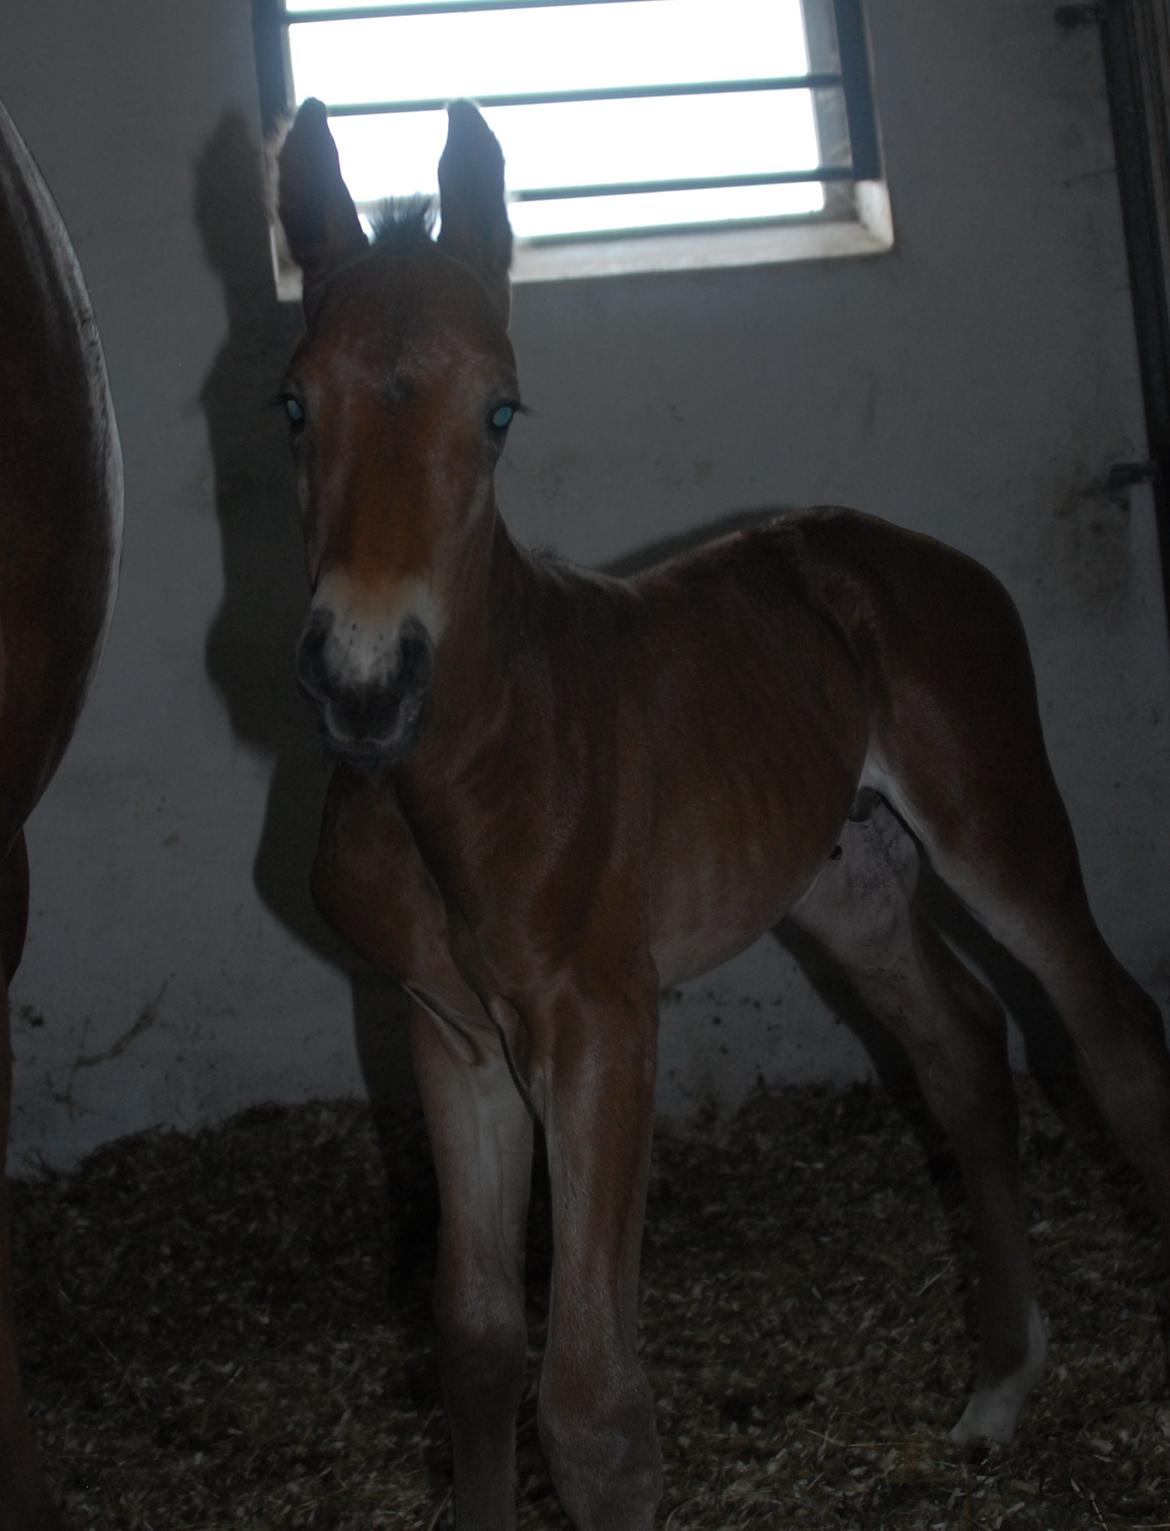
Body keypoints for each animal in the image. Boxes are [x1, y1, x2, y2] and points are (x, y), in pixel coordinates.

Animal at [277, 98, 1170, 1531]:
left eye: (502, 409)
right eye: (294, 403)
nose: (366, 677)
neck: (460, 770)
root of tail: (905, 549)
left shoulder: (600, 1019)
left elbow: (594, 1415)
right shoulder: (448, 1036)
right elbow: (474, 1343)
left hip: (994, 821)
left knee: (1109, 1029)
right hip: (844, 879)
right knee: (961, 1047)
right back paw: (997, 1388)